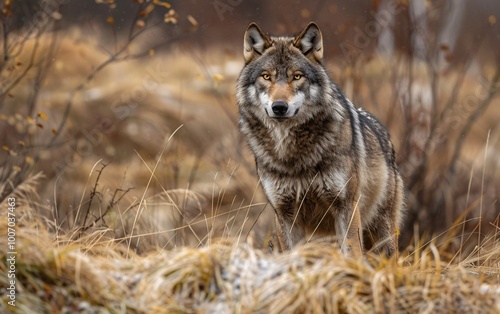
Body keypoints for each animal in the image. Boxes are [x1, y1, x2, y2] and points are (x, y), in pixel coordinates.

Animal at [236, 22, 404, 258]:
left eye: (297, 77)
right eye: (266, 76)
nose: (279, 107)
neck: (292, 154)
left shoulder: (346, 207)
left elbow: (353, 253)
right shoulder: (285, 213)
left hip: (383, 234)